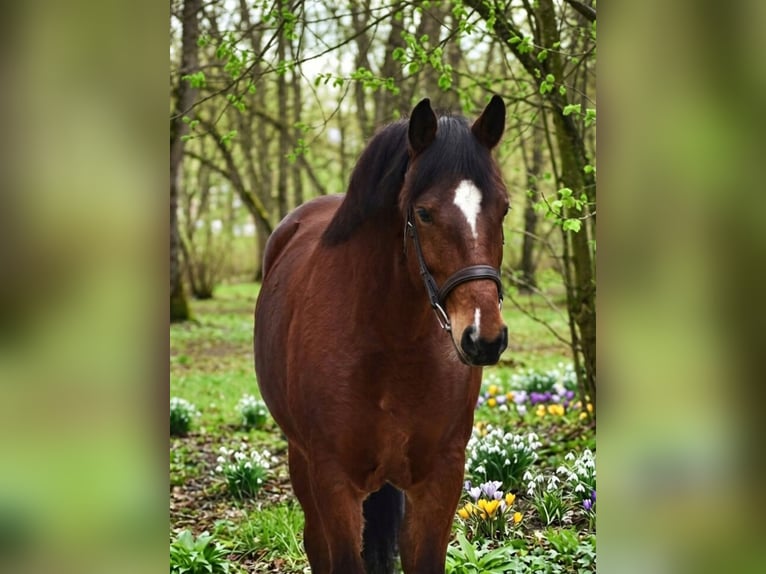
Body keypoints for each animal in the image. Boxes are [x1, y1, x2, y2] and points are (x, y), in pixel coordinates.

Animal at [254, 96, 509, 573]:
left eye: (502, 208)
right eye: (423, 213)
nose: (484, 337)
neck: (391, 344)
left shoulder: (441, 477)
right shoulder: (332, 479)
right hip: (301, 460)